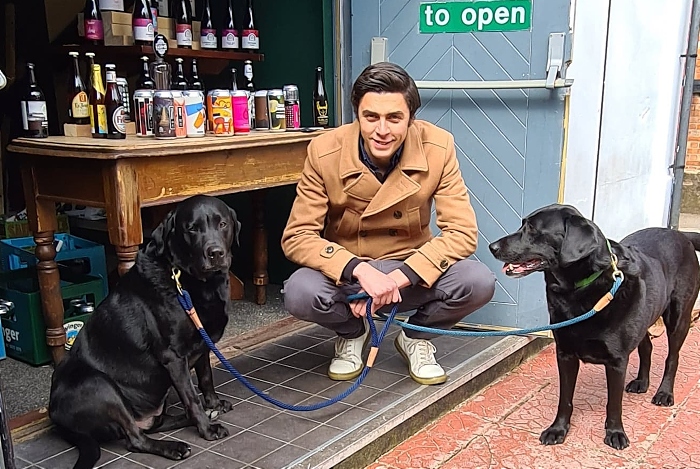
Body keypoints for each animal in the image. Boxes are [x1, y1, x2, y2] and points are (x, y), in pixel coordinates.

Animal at [48, 195, 241, 468]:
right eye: (191, 229)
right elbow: (191, 396)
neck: (189, 281)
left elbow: (205, 379)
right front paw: (207, 429)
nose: (215, 253)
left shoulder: (203, 343)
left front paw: (213, 404)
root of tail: (57, 420)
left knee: (152, 425)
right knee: (135, 438)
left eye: (222, 224)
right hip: (97, 384)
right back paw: (174, 446)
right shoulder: (173, 356)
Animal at [486, 204, 700, 450]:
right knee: (646, 346)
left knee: (672, 357)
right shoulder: (565, 354)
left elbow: (614, 403)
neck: (578, 290)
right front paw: (558, 429)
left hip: (678, 317)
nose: (491, 247)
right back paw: (641, 382)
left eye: (532, 228)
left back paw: (664, 393)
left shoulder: (617, 361)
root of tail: (681, 234)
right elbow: (565, 399)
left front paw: (615, 432)